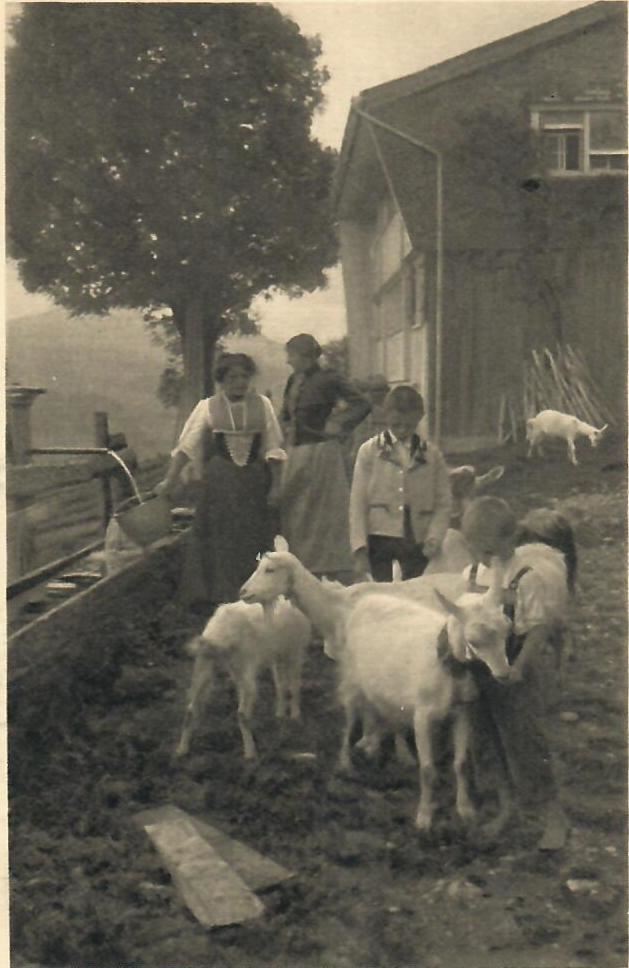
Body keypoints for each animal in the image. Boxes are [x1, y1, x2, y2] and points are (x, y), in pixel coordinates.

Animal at [175, 596, 311, 761]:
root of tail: (219, 635)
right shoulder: (295, 650)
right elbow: (294, 685)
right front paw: (295, 716)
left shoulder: (277, 654)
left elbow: (280, 684)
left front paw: (280, 715)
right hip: (246, 665)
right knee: (242, 713)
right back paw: (250, 753)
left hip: (205, 665)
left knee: (190, 709)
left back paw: (182, 750)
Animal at [338, 561, 512, 831]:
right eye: (473, 640)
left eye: (507, 628)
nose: (504, 674)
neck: (447, 668)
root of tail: (368, 600)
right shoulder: (423, 715)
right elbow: (428, 769)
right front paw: (424, 818)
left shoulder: (463, 711)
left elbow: (461, 763)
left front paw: (466, 810)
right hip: (352, 679)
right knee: (349, 718)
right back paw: (347, 763)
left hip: (390, 689)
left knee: (387, 714)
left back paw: (394, 753)